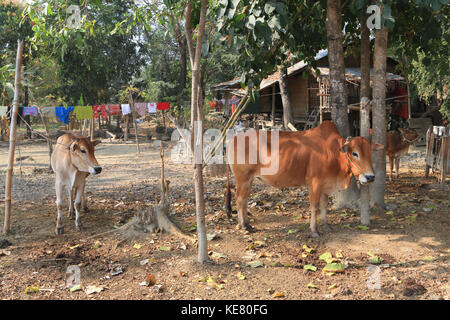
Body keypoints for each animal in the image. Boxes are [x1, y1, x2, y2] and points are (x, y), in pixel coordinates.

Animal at [227, 120, 382, 238]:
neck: (334, 153)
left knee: (244, 199)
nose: (370, 177)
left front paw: (326, 225)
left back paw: (247, 224)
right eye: (355, 153)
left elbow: (324, 205)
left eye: (370, 153)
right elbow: (314, 206)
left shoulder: (325, 185)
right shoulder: (314, 183)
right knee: (239, 199)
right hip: (243, 178)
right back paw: (243, 225)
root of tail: (232, 140)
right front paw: (314, 230)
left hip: (249, 180)